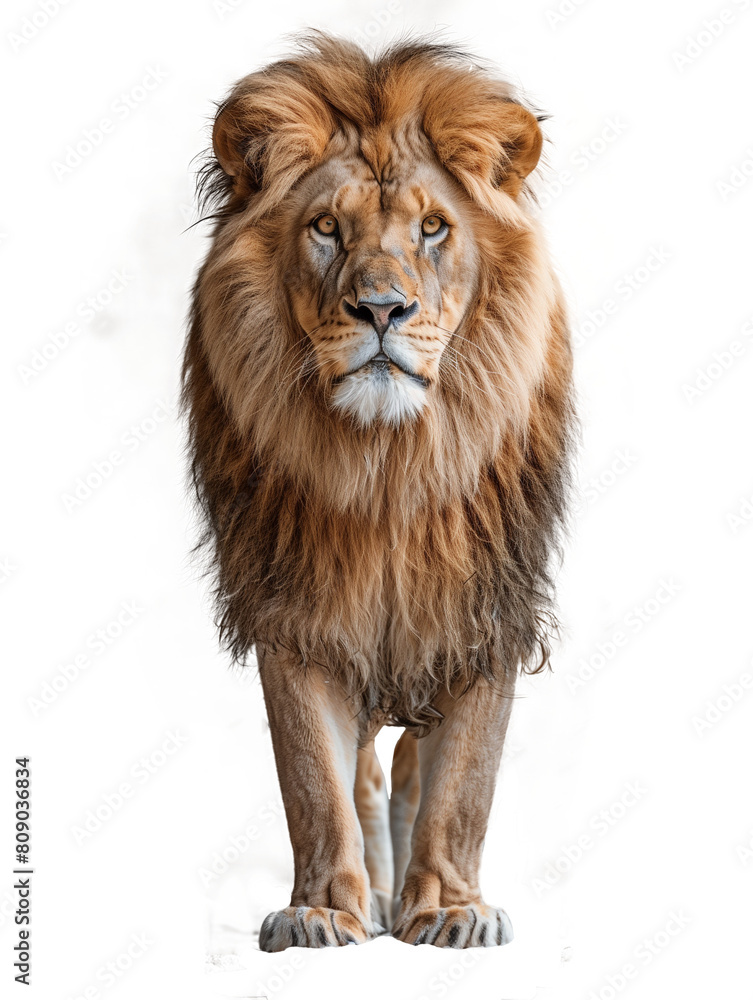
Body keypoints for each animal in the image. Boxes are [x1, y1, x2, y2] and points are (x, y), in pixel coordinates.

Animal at [185, 33, 572, 952]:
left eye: (433, 228)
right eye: (326, 228)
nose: (382, 309)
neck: (390, 464)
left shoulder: (484, 608)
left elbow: (462, 781)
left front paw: (452, 909)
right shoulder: (294, 610)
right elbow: (314, 780)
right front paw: (324, 909)